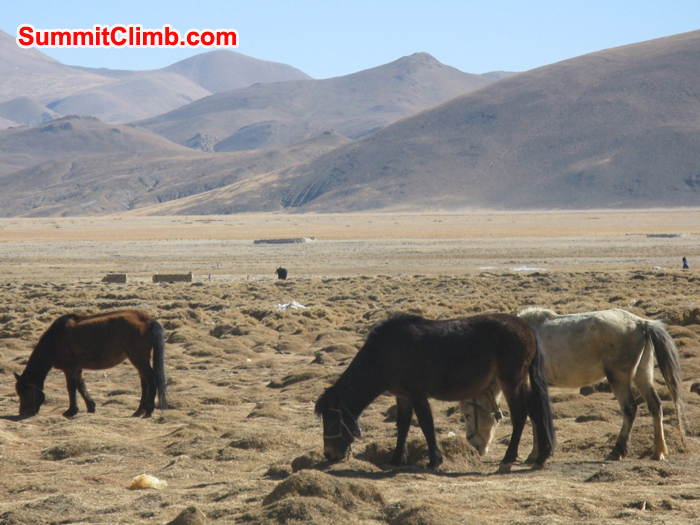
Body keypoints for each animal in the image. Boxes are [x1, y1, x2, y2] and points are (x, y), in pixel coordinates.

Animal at [14, 310, 168, 419]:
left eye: (27, 393)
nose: (24, 413)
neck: (56, 338)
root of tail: (149, 320)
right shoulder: (77, 368)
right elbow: (81, 385)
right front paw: (91, 406)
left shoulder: (69, 368)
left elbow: (71, 387)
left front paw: (71, 411)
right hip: (139, 359)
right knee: (145, 383)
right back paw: (139, 411)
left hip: (138, 358)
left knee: (151, 379)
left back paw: (148, 410)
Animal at [314, 313, 555, 473]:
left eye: (332, 421)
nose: (329, 454)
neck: (385, 353)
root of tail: (526, 328)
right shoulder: (402, 396)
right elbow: (402, 426)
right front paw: (396, 459)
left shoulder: (417, 395)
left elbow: (426, 425)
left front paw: (434, 461)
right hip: (520, 382)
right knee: (536, 410)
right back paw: (540, 457)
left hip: (510, 381)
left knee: (521, 414)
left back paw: (507, 459)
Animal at [461, 307, 684, 462]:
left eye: (466, 415)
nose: (473, 445)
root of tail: (640, 323)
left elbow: (534, 415)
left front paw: (535, 454)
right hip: (642, 374)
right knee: (655, 405)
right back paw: (658, 451)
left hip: (618, 378)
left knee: (630, 409)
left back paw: (617, 451)